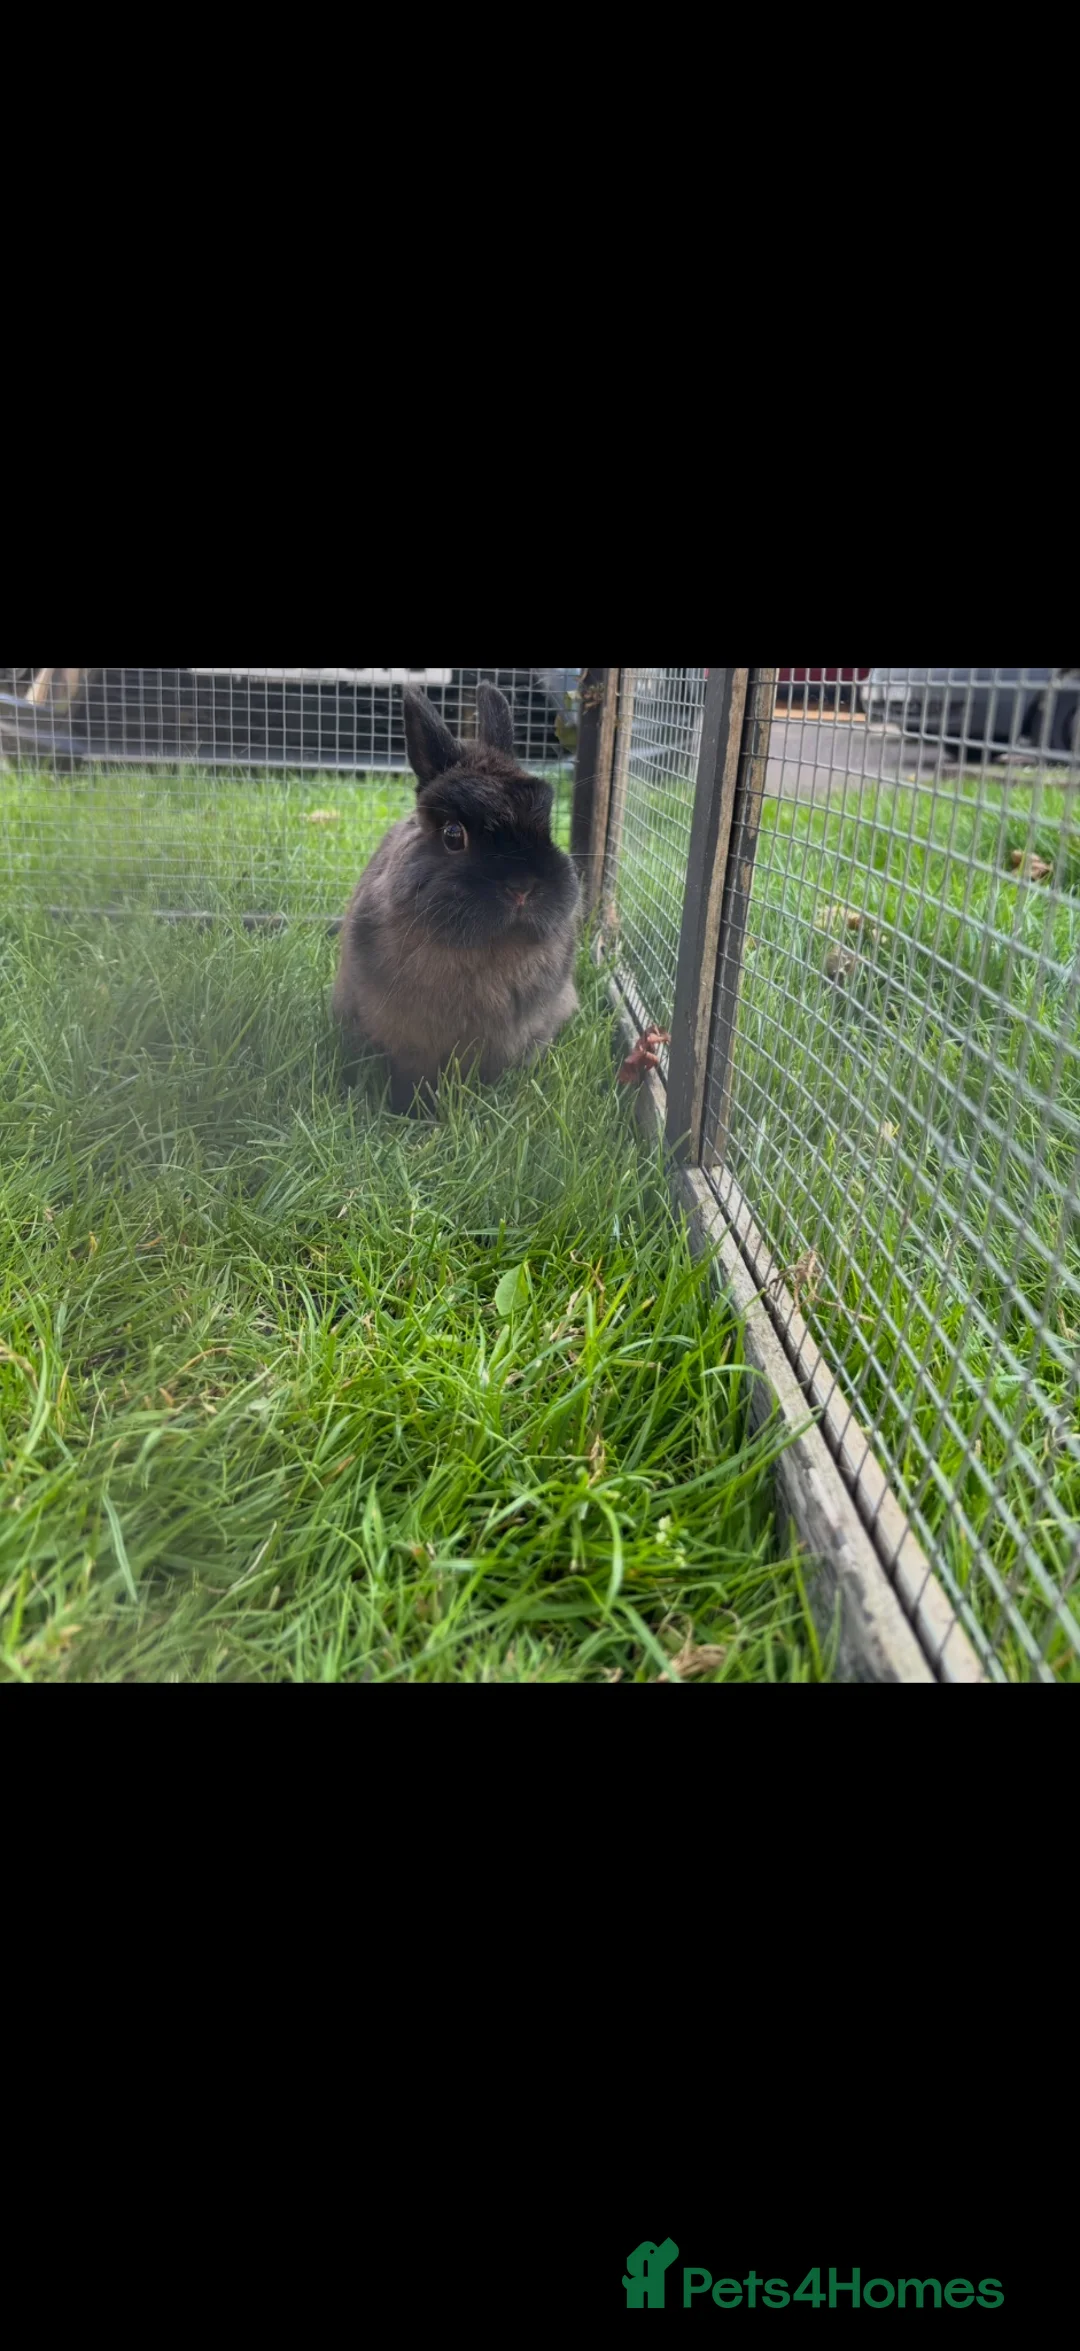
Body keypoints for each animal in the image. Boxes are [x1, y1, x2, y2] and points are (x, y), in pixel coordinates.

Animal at [332, 682, 581, 1112]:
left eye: (547, 826)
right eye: (453, 835)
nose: (522, 886)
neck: (487, 949)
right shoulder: (405, 1039)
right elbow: (412, 1077)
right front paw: (412, 1113)